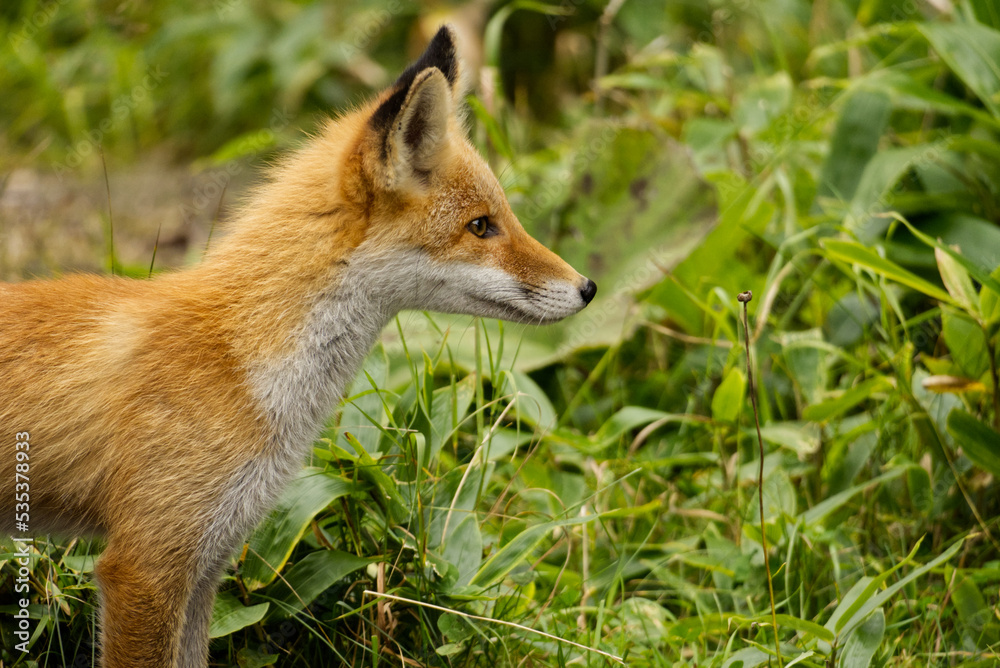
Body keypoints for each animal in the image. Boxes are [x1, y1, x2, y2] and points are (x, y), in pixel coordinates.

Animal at [0, 25, 595, 668]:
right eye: (481, 226)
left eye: (503, 216)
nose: (588, 288)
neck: (242, 363)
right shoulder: (146, 564)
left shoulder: (206, 561)